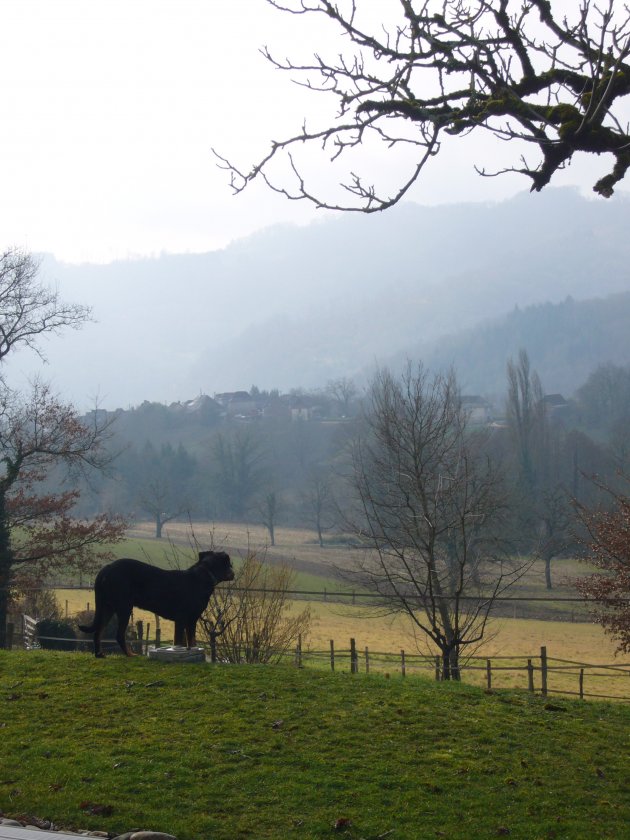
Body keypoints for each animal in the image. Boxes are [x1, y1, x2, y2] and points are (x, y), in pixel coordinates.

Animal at [78, 552, 235, 656]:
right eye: (229, 564)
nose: (233, 573)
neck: (204, 576)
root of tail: (107, 569)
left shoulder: (188, 620)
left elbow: (190, 641)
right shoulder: (184, 619)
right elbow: (184, 640)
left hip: (107, 607)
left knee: (98, 631)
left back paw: (99, 654)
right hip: (124, 607)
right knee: (119, 635)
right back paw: (130, 654)